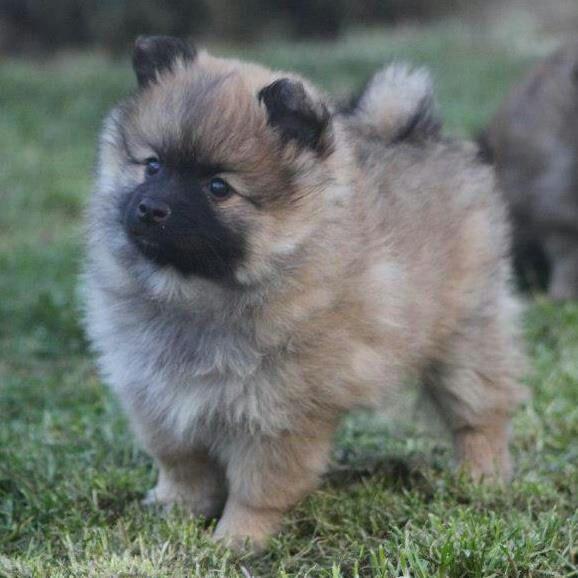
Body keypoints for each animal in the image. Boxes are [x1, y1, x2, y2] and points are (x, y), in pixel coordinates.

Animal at [83, 36, 524, 548]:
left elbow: (258, 486)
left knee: (480, 410)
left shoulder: (278, 413)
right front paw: (177, 510)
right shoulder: (158, 396)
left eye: (218, 187)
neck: (196, 294)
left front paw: (236, 539)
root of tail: (417, 132)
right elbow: (182, 464)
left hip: (465, 336)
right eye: (152, 166)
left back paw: (481, 476)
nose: (152, 208)